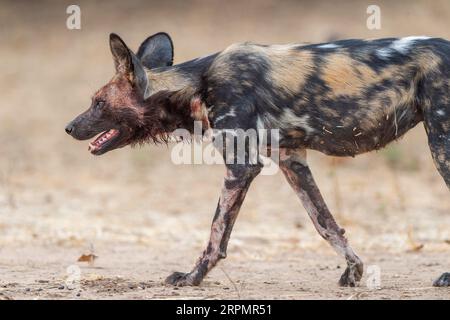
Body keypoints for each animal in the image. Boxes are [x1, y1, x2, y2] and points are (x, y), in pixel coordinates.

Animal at [67, 33, 450, 288]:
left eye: (99, 102)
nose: (69, 127)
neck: (196, 85)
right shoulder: (292, 161)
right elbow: (325, 224)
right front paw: (354, 271)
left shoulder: (241, 166)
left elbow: (216, 235)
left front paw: (192, 277)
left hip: (441, 148)